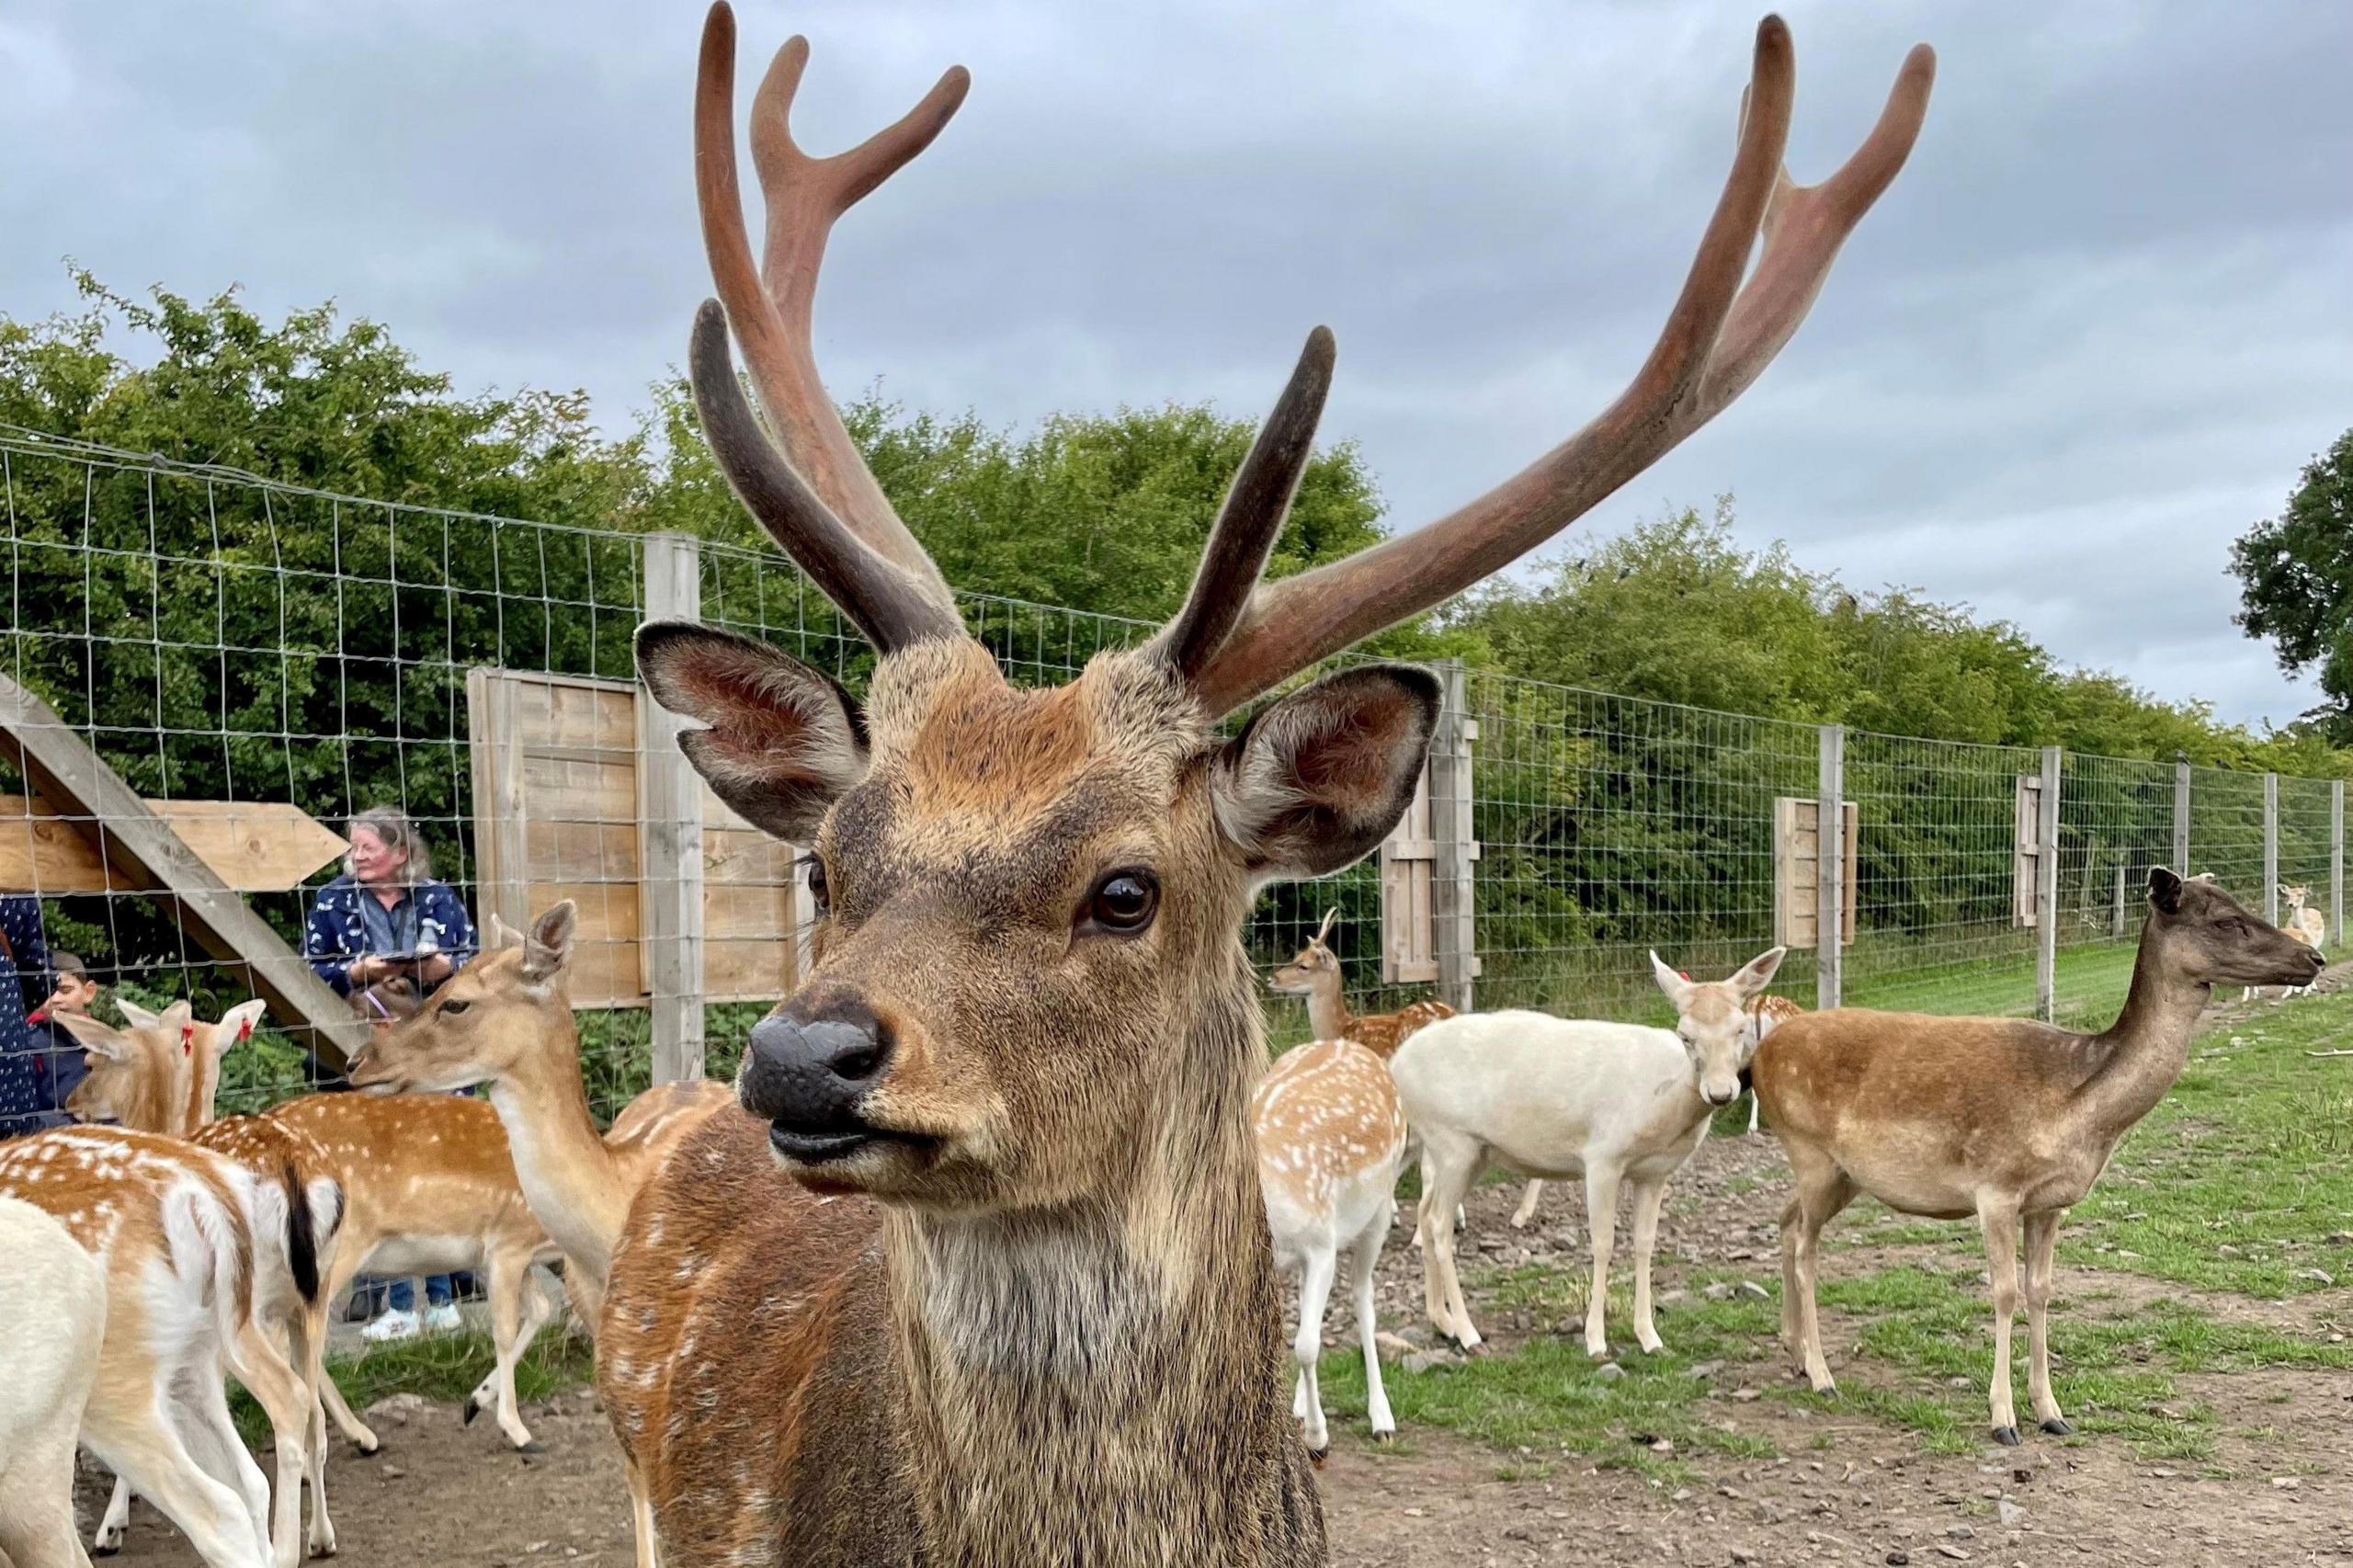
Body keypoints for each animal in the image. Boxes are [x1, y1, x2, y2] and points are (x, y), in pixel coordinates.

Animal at [1392, 946, 1779, 1346]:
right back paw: (1468, 1332)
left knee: (1424, 1211)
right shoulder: (1602, 1157)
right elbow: (1603, 1243)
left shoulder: (1655, 1173)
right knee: (1439, 1223)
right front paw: (1595, 1339)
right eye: (1685, 1035)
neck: (1661, 1105)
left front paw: (1649, 1335)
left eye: (1739, 1029)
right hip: (1450, 1140)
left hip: (1468, 1151)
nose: (1721, 1092)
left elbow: (1645, 1242)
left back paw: (1442, 1320)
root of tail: (1395, 1064)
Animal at [1759, 866, 2325, 1440]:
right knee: (1805, 1248)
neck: (2079, 1111)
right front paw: (2002, 1418)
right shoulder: (1995, 1186)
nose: (2314, 959)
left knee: (1784, 1222)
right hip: (1810, 1151)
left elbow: (2042, 1289)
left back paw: (1796, 1353)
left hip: (1840, 1174)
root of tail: (1760, 1053)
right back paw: (1822, 1375)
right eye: (2226, 919)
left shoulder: (2051, 1202)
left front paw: (2051, 1411)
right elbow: (2005, 1292)